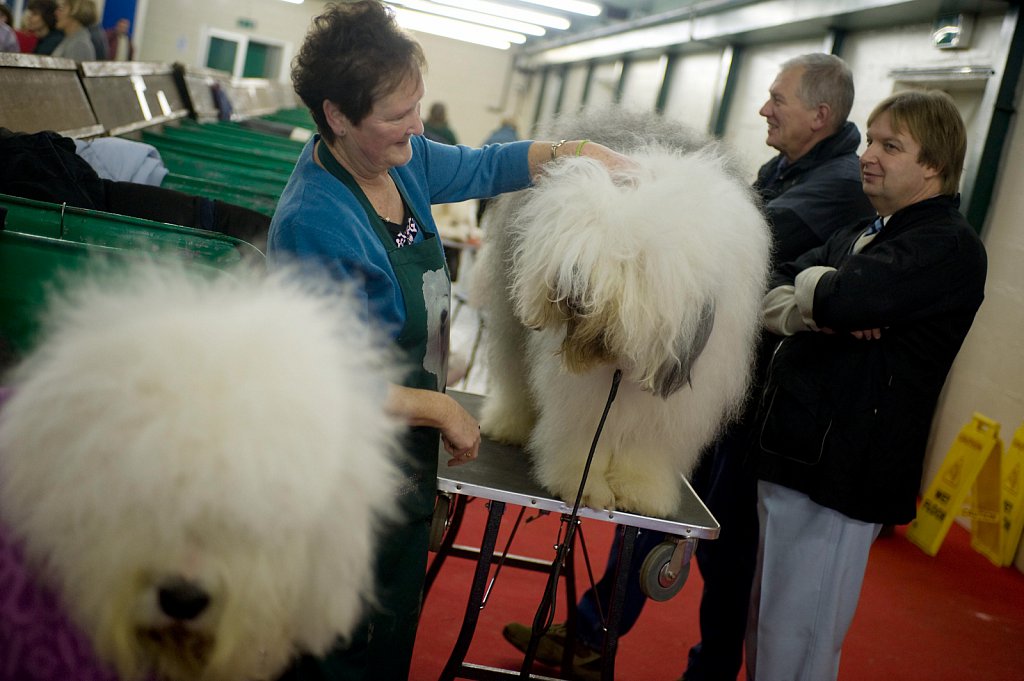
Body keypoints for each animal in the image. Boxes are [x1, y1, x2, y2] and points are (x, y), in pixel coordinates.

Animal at [475, 110, 770, 516]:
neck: (621, 359)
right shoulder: (581, 394)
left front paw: (641, 492)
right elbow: (584, 439)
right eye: (578, 235)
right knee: (515, 381)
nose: (574, 283)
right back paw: (508, 426)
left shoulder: (676, 402)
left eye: (630, 256)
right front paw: (584, 486)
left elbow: (647, 448)